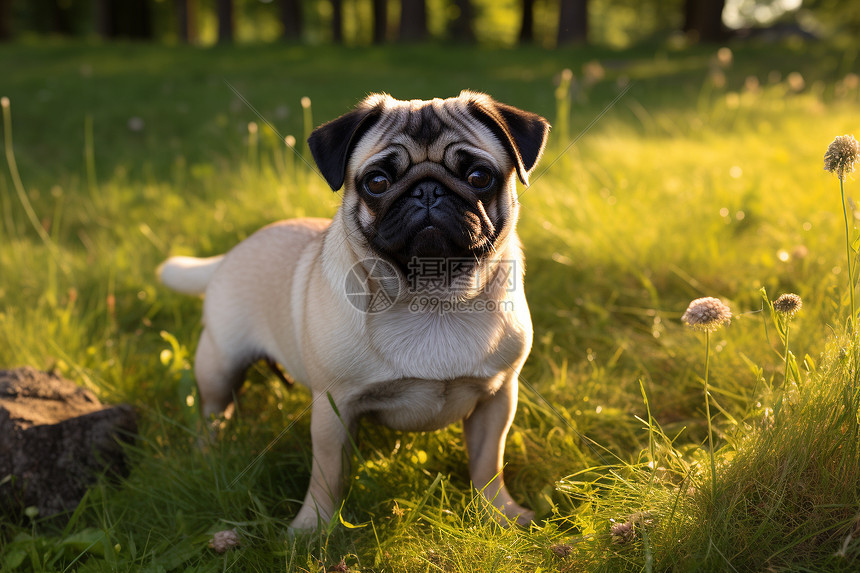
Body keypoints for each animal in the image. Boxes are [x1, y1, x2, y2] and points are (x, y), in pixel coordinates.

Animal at [160, 91, 552, 528]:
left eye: (479, 177)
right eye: (377, 182)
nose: (428, 190)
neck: (431, 299)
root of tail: (232, 253)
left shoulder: (498, 399)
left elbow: (488, 464)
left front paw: (500, 514)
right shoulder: (335, 407)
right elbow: (327, 474)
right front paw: (313, 527)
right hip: (220, 362)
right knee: (214, 409)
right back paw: (208, 451)